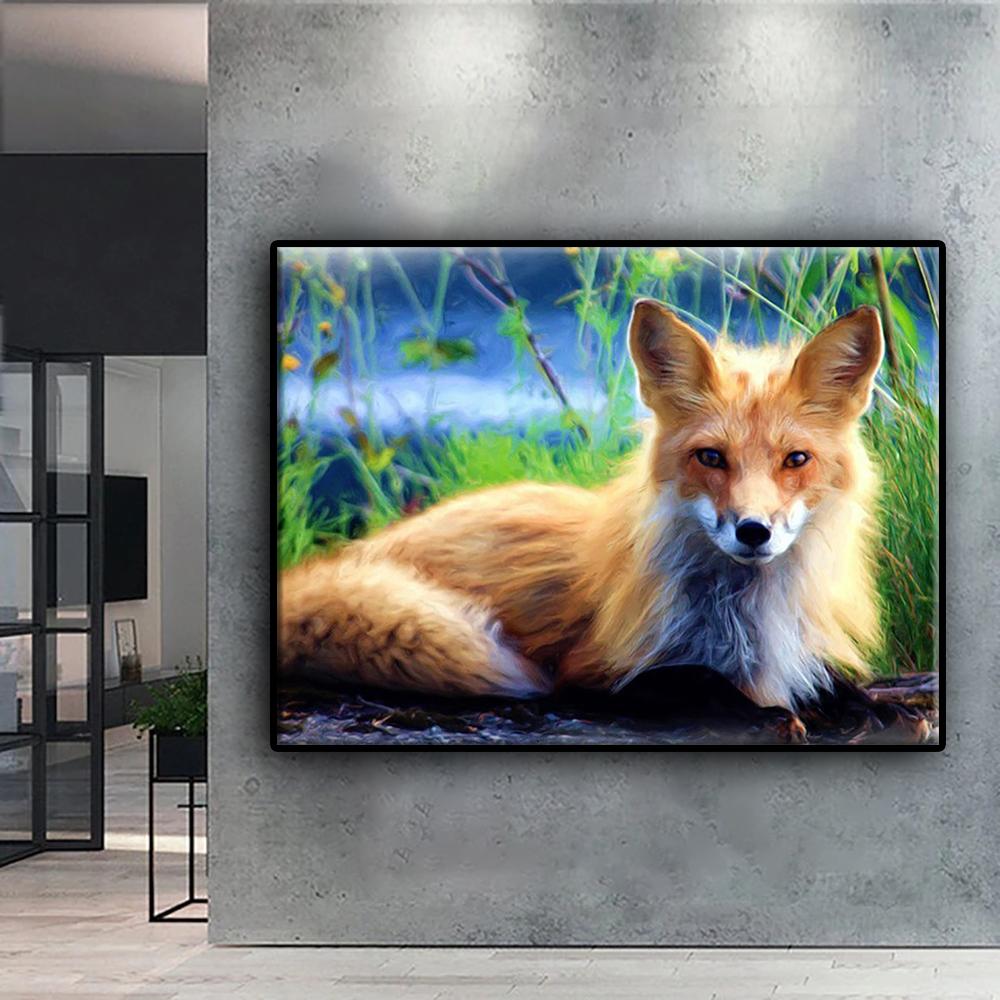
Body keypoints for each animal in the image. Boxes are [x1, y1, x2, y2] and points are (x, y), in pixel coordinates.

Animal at [280, 298, 925, 740]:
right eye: (711, 458)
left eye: (796, 460)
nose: (753, 530)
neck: (745, 618)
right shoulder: (593, 672)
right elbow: (698, 681)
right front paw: (768, 715)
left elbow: (834, 682)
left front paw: (875, 707)